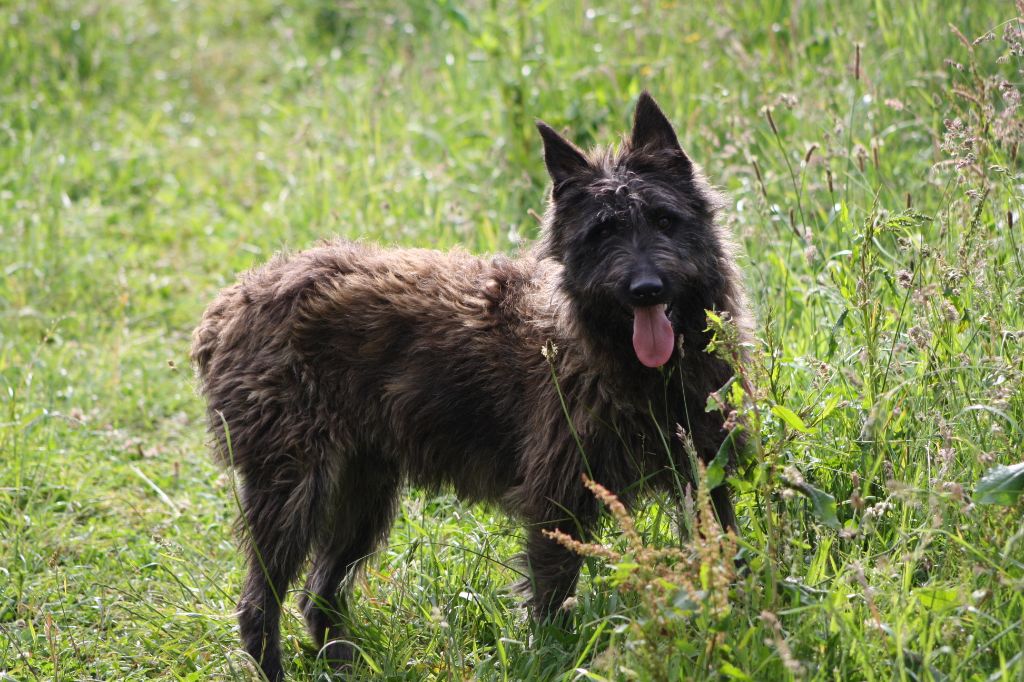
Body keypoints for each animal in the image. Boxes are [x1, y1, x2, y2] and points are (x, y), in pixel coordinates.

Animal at [192, 91, 753, 679]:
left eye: (664, 219)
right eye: (603, 232)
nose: (646, 289)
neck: (626, 362)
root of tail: (232, 304)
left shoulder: (704, 470)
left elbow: (726, 553)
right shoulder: (558, 500)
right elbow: (554, 601)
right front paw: (554, 660)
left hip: (360, 497)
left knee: (318, 594)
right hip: (293, 491)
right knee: (260, 604)